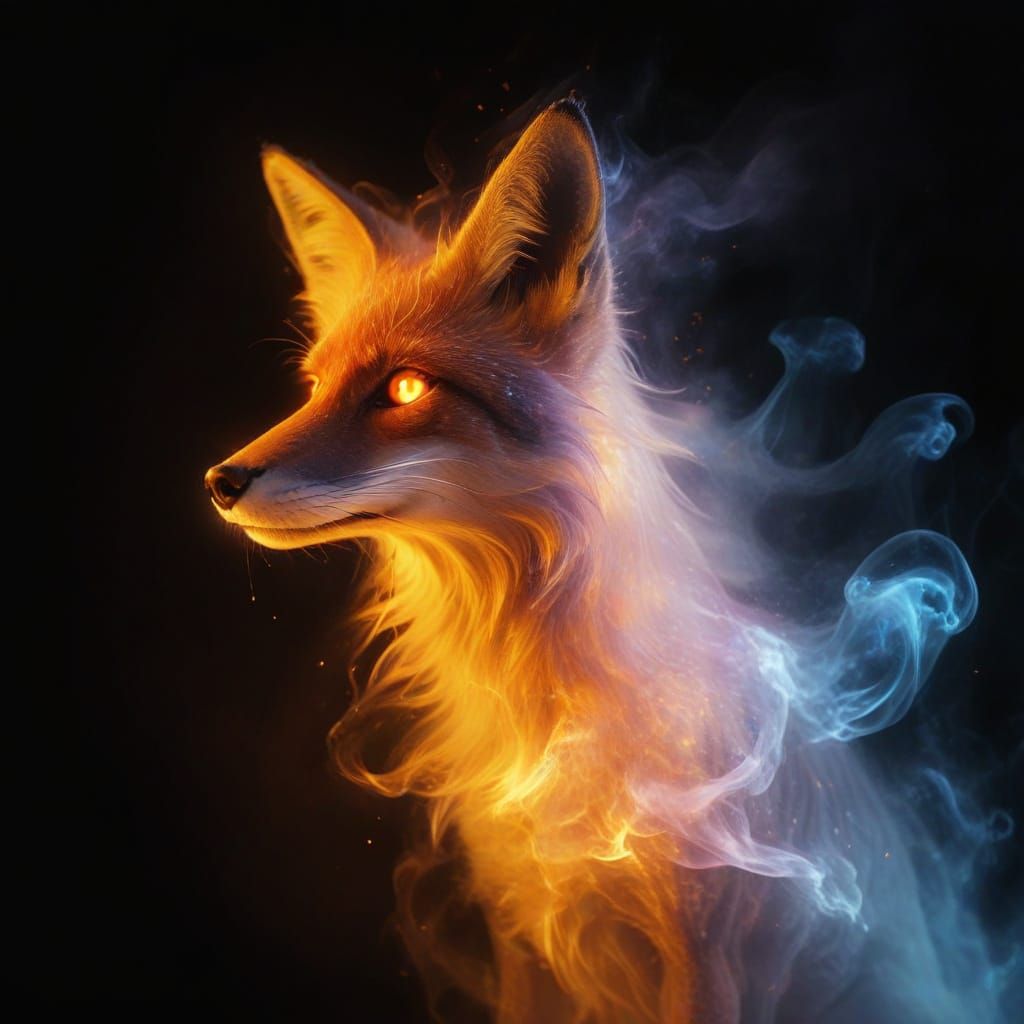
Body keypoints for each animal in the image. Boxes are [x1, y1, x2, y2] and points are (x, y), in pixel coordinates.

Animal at [206, 100, 995, 1022]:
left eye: (403, 388)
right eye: (314, 387)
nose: (221, 481)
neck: (546, 707)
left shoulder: (706, 949)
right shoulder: (521, 932)